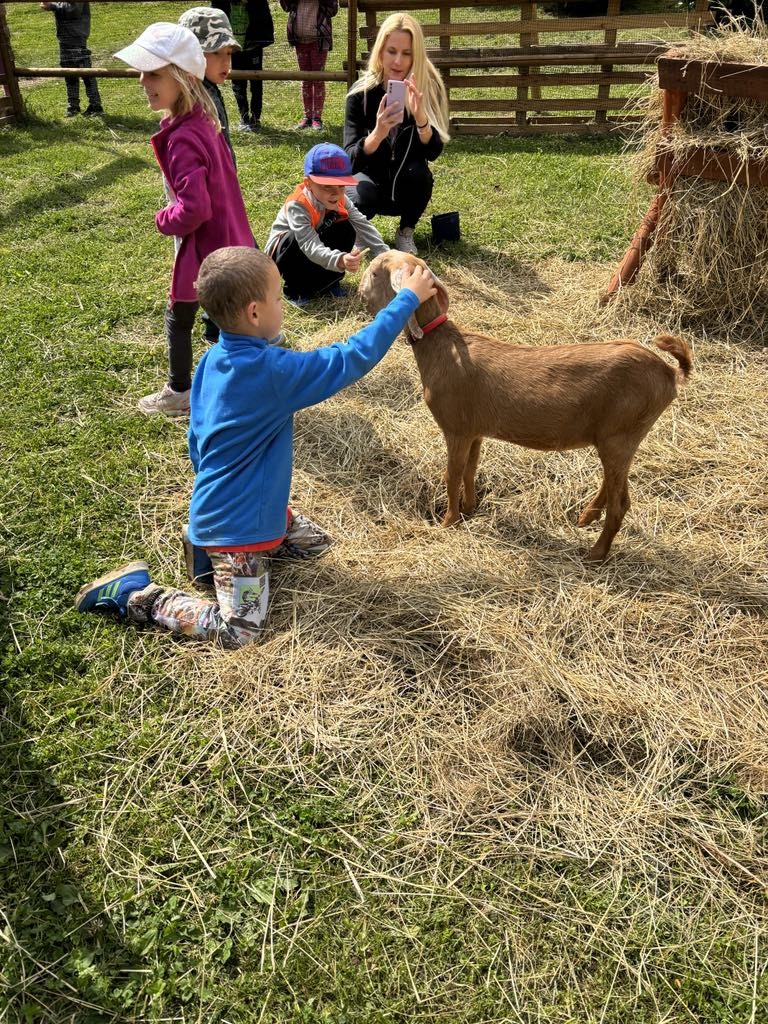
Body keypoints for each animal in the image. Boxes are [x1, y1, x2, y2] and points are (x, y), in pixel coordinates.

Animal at [359, 250, 693, 561]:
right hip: (621, 437)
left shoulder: (456, 427)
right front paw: (469, 509)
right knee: (615, 486)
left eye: (376, 273)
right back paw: (586, 517)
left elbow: (452, 475)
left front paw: (448, 522)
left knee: (621, 503)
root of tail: (668, 373)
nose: (361, 292)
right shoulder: (475, 430)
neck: (441, 347)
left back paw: (595, 554)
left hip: (620, 434)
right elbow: (470, 470)